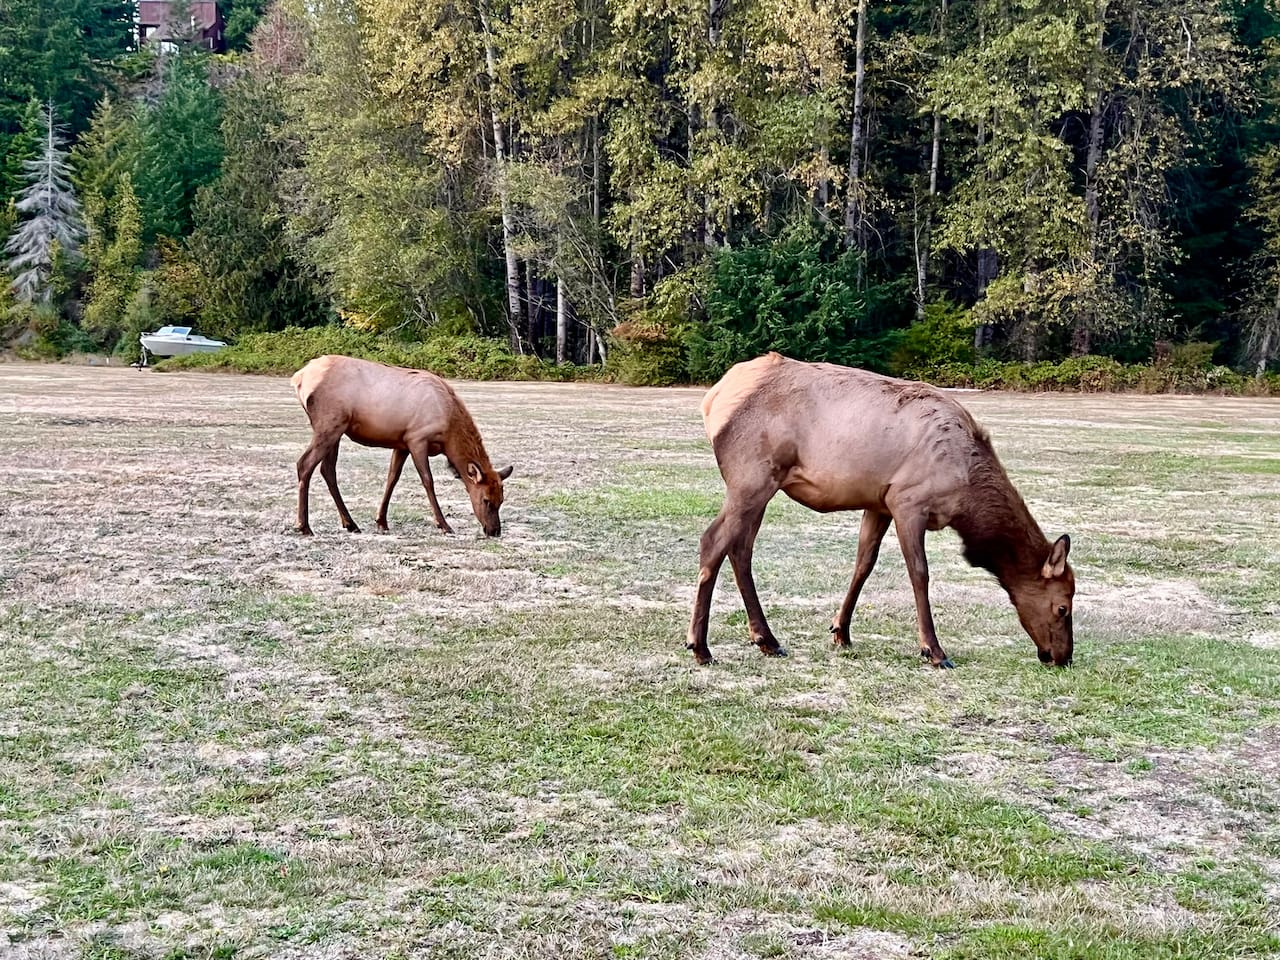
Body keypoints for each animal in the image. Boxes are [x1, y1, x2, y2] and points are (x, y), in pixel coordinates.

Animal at [291, 355, 513, 537]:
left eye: (501, 499)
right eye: (486, 500)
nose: (494, 531)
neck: (448, 433)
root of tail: (299, 378)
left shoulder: (402, 443)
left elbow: (392, 478)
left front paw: (381, 521)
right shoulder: (417, 438)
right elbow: (428, 480)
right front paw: (444, 525)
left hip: (337, 429)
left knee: (327, 469)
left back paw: (350, 523)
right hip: (329, 424)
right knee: (304, 464)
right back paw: (304, 526)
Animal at [687, 353, 1075, 669]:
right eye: (1063, 606)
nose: (1063, 657)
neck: (967, 495)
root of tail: (713, 398)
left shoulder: (879, 504)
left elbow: (864, 564)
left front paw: (841, 632)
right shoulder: (908, 502)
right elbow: (919, 573)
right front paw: (933, 650)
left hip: (763, 486)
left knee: (740, 549)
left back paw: (766, 639)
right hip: (751, 479)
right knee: (713, 541)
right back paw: (700, 646)